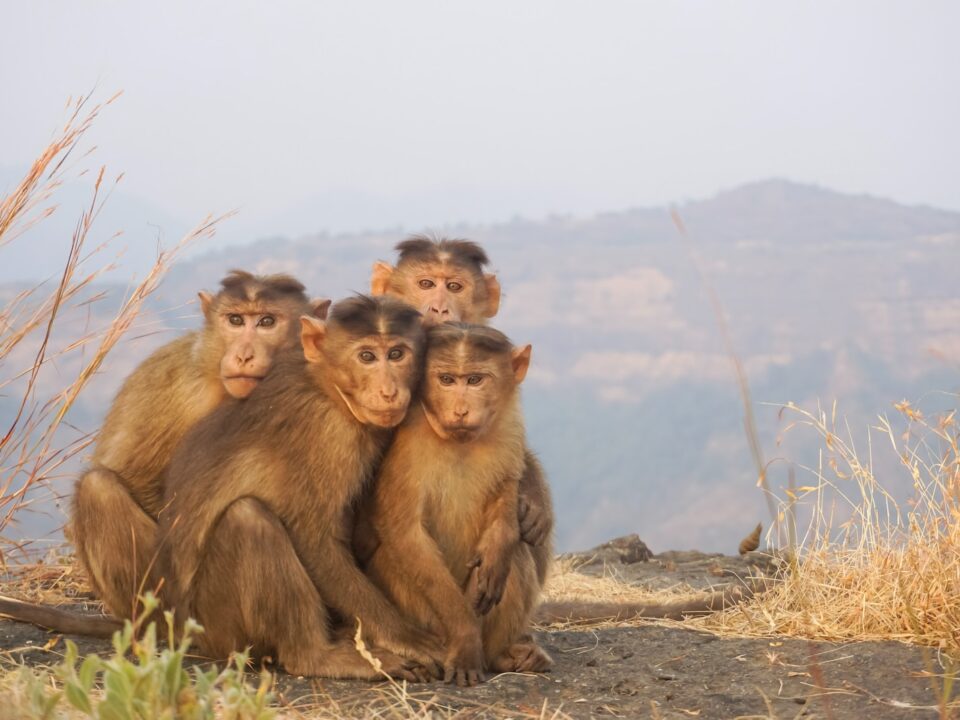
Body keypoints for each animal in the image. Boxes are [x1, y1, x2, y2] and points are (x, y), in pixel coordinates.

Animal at [69, 270, 330, 622]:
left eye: (266, 321)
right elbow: (134, 478)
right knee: (97, 489)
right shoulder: (180, 389)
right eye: (235, 320)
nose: (243, 355)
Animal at [153, 295, 442, 681]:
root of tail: (183, 631)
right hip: (219, 628)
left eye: (397, 354)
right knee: (249, 519)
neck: (328, 389)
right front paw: (404, 636)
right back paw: (316, 656)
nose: (389, 390)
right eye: (367, 356)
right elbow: (314, 539)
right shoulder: (326, 435)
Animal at [364, 322, 551, 686]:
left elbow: (508, 488)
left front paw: (499, 542)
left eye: (475, 380)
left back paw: (502, 655)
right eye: (447, 380)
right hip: (427, 620)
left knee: (517, 555)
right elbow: (404, 532)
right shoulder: (408, 444)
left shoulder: (509, 425)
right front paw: (465, 638)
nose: (461, 410)